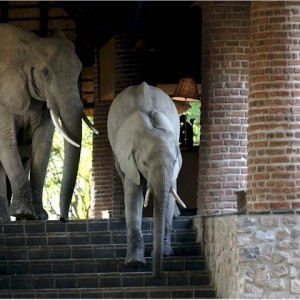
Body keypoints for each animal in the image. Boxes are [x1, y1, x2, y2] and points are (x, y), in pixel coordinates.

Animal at [0, 24, 97, 223]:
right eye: (45, 73)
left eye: (79, 70)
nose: (63, 219)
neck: (28, 47)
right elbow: (6, 141)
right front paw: (23, 213)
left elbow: (42, 145)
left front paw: (37, 216)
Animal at [106, 81, 184, 276]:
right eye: (144, 163)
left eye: (174, 162)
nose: (157, 276)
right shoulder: (129, 158)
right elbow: (133, 196)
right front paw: (135, 263)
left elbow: (169, 197)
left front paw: (166, 253)